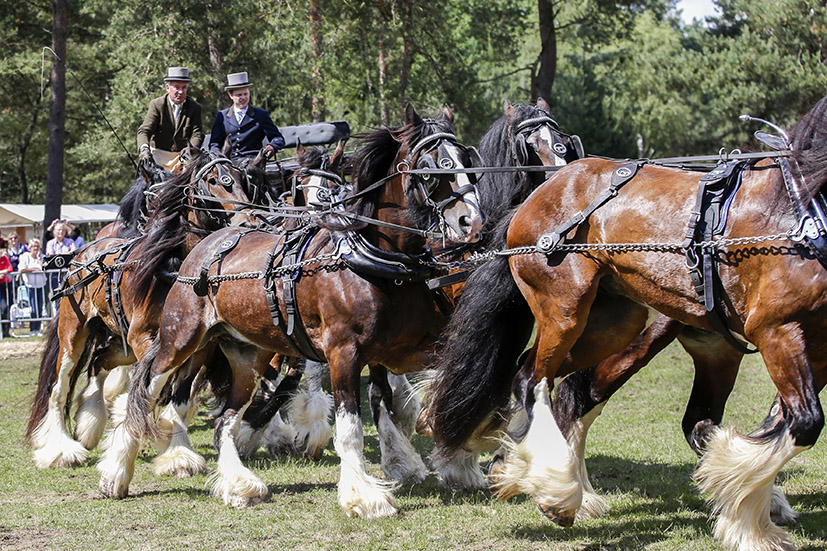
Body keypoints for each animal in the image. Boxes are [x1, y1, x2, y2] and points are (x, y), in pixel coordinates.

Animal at [25, 149, 256, 472]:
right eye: (213, 181)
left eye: (240, 179)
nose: (248, 221)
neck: (174, 266)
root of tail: (80, 256)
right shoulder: (143, 338)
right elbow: (155, 386)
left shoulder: (196, 348)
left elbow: (177, 396)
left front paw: (177, 452)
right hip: (74, 333)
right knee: (60, 387)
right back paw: (61, 449)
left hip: (121, 345)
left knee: (99, 362)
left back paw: (90, 424)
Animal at [97, 104, 486, 516]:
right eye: (432, 168)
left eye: (468, 162)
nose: (473, 221)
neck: (378, 260)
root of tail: (208, 242)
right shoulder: (343, 353)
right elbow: (349, 429)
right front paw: (363, 495)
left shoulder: (408, 349)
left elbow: (461, 385)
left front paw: (438, 459)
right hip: (181, 340)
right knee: (145, 392)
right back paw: (117, 472)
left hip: (248, 356)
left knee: (226, 421)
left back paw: (239, 483)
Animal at [430, 96, 827, 551]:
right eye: (530, 145)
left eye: (562, 141)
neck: (795, 205)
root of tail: (534, 201)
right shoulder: (778, 331)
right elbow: (804, 422)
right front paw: (750, 520)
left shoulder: (815, 346)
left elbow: (783, 421)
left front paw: (749, 514)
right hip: (567, 314)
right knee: (536, 381)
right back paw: (557, 491)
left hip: (622, 327)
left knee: (566, 388)